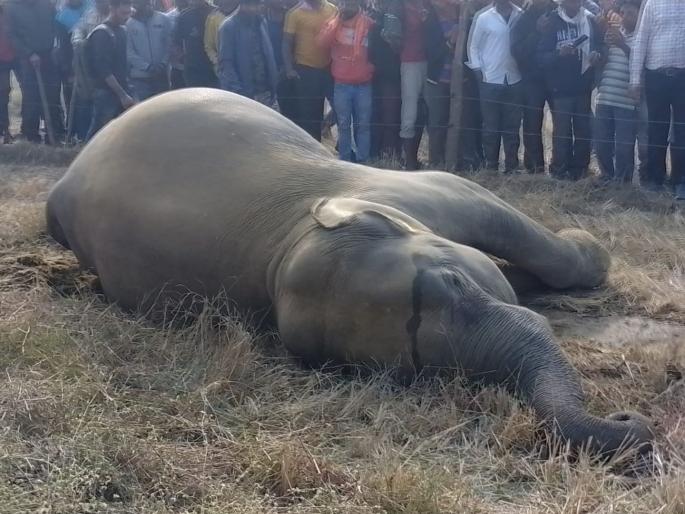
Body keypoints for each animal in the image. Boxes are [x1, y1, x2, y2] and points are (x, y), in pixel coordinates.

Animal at [46, 89, 653, 456]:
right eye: (419, 368)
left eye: (454, 283)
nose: (628, 416)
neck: (286, 245)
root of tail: (64, 184)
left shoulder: (405, 191)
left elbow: (492, 211)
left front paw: (584, 250)